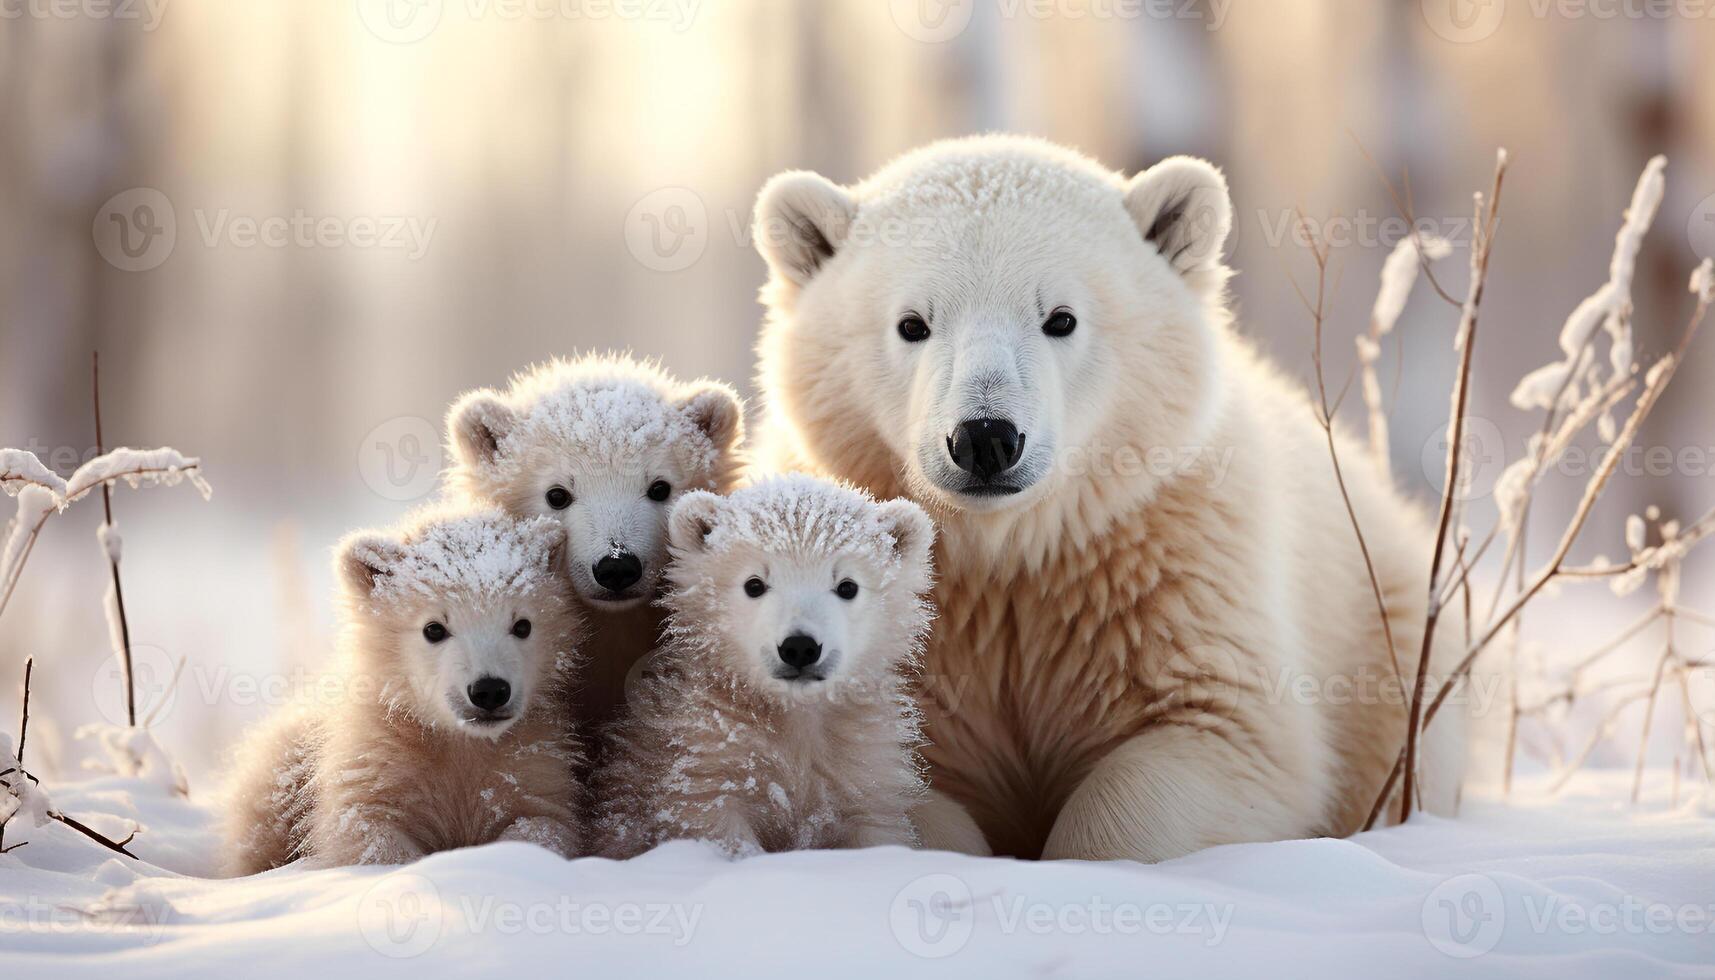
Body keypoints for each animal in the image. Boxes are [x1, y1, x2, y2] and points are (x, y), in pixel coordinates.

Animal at [751, 133, 1461, 861]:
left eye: (1060, 318)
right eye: (912, 323)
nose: (985, 438)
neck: (1007, 556)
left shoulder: (1174, 581)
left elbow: (1221, 732)